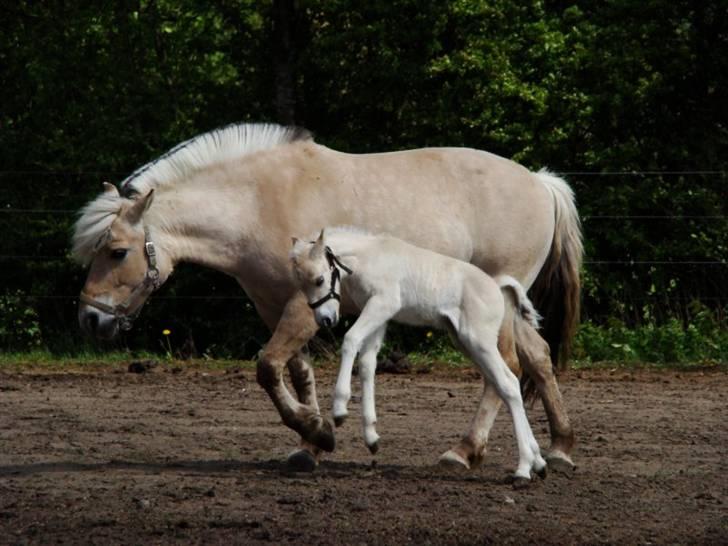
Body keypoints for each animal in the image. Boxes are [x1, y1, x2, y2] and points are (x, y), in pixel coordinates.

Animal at [290, 226, 544, 480]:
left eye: (320, 279)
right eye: (301, 284)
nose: (326, 319)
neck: (369, 256)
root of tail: (496, 286)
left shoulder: (383, 304)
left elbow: (351, 339)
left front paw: (340, 410)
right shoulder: (379, 314)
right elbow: (367, 364)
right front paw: (371, 437)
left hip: (480, 342)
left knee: (508, 385)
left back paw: (523, 470)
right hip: (467, 343)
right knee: (506, 383)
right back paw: (538, 463)